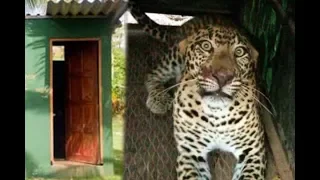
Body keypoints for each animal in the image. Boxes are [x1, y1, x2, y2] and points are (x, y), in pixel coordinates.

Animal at [129, 2, 266, 179]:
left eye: (239, 52)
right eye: (206, 46)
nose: (223, 77)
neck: (216, 116)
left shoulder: (254, 152)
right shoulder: (190, 152)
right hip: (174, 58)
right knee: (152, 75)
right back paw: (159, 100)